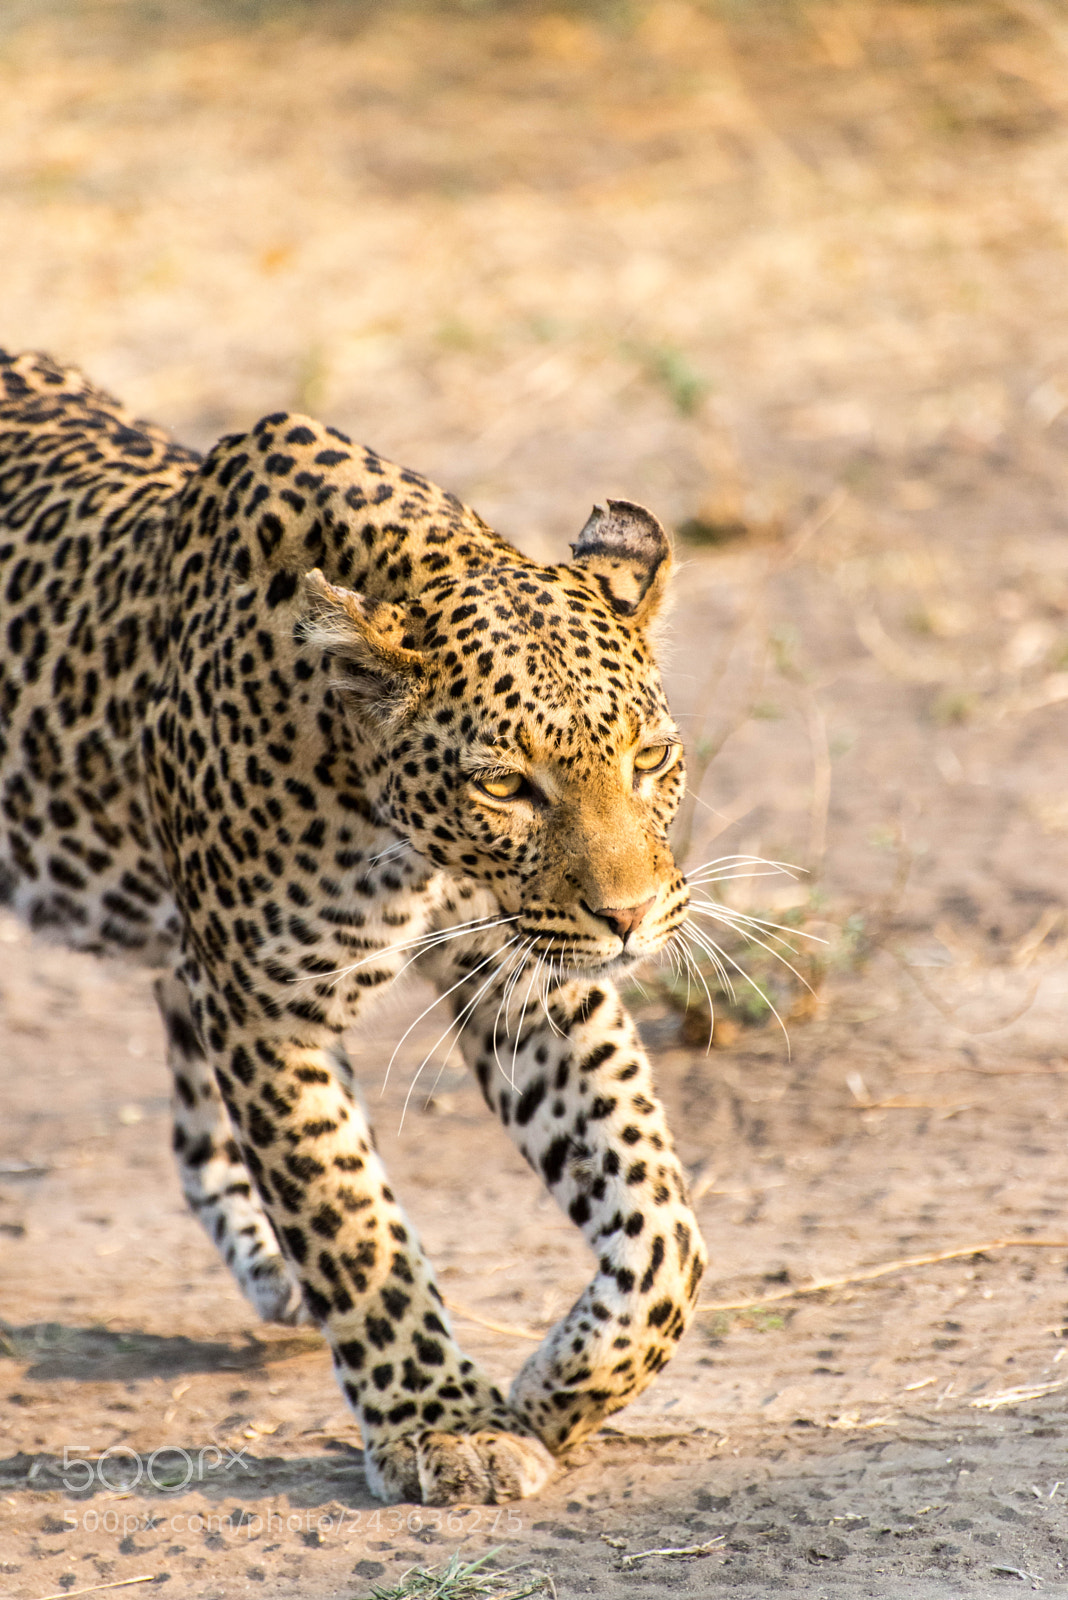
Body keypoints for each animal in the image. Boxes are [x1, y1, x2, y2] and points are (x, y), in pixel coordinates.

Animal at [0, 348, 707, 1507]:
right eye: (505, 785)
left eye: (648, 759)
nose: (631, 917)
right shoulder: (267, 1005)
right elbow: (352, 1222)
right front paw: (442, 1427)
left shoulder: (528, 976)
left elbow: (661, 1228)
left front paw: (551, 1393)